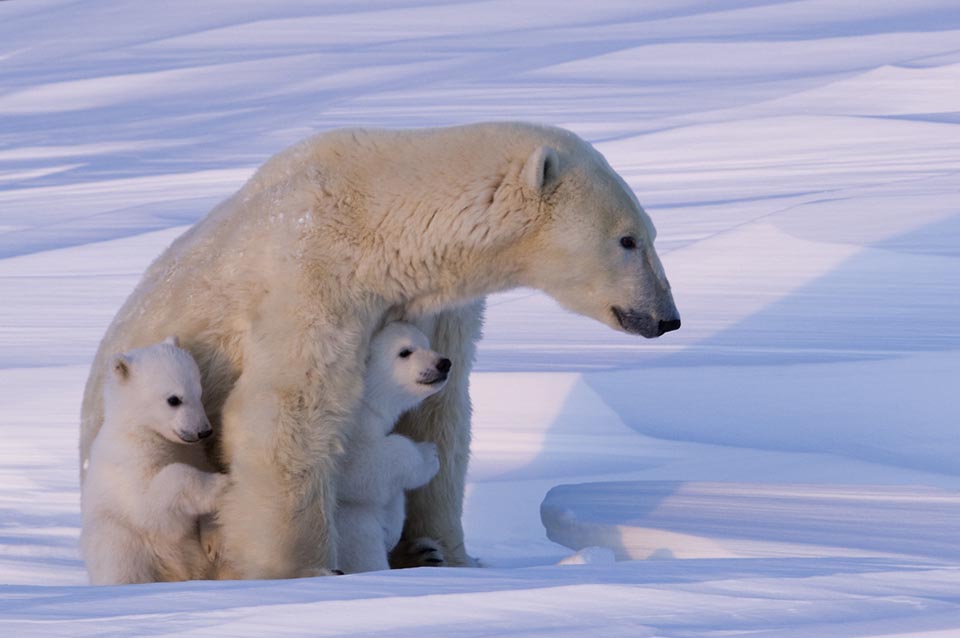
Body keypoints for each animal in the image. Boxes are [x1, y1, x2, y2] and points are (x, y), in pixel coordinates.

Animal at [79, 338, 228, 588]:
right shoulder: (129, 463)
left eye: (199, 391)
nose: (204, 431)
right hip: (124, 544)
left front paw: (214, 539)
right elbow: (151, 504)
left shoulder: (194, 452)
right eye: (174, 399)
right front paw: (223, 485)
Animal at [338, 322, 450, 576]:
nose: (443, 363)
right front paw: (429, 455)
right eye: (404, 351)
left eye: (426, 343)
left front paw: (393, 528)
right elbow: (361, 466)